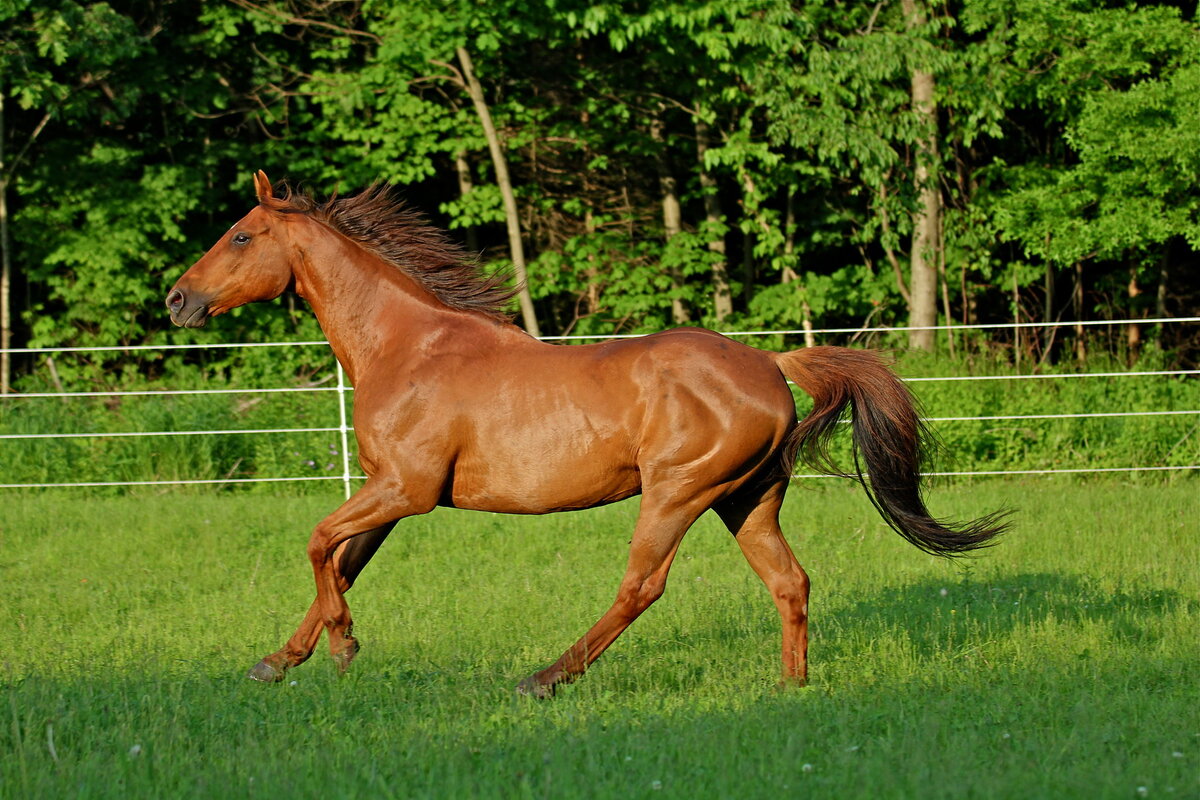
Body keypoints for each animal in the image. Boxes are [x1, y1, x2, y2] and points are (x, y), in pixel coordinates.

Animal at [166, 172, 1012, 695]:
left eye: (240, 236)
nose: (177, 300)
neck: (406, 347)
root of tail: (770, 363)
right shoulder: (390, 496)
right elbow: (341, 562)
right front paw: (281, 661)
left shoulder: (404, 490)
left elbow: (317, 543)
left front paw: (340, 650)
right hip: (747, 501)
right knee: (790, 583)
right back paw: (789, 686)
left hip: (677, 492)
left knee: (642, 586)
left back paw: (545, 678)